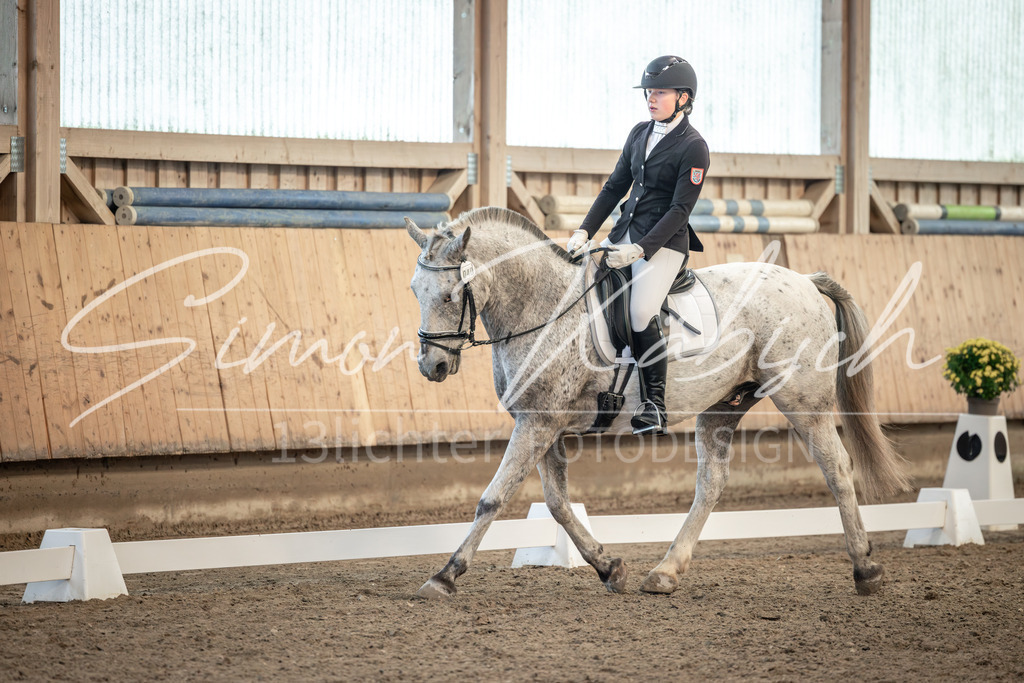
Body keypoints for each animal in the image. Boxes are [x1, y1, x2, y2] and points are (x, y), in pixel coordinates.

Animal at [404, 206, 910, 599]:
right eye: (414, 292)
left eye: (450, 294)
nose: (431, 366)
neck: (544, 306)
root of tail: (804, 280)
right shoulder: (540, 422)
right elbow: (558, 504)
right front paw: (610, 568)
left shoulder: (538, 424)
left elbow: (492, 498)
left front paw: (444, 576)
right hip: (723, 405)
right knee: (711, 482)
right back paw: (665, 572)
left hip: (803, 400)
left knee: (837, 467)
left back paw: (866, 569)